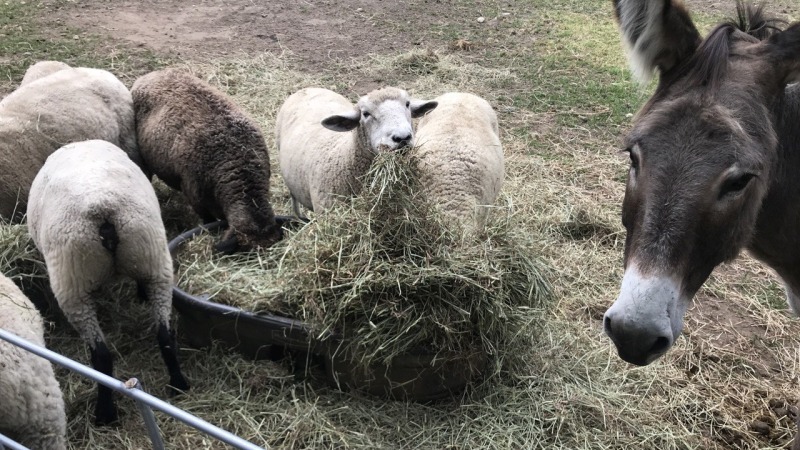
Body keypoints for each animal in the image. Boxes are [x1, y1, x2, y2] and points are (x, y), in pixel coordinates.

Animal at [26, 139, 189, 426]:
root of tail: (102, 208)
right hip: (154, 259)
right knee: (164, 333)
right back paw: (178, 383)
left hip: (72, 284)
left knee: (101, 356)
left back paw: (104, 413)